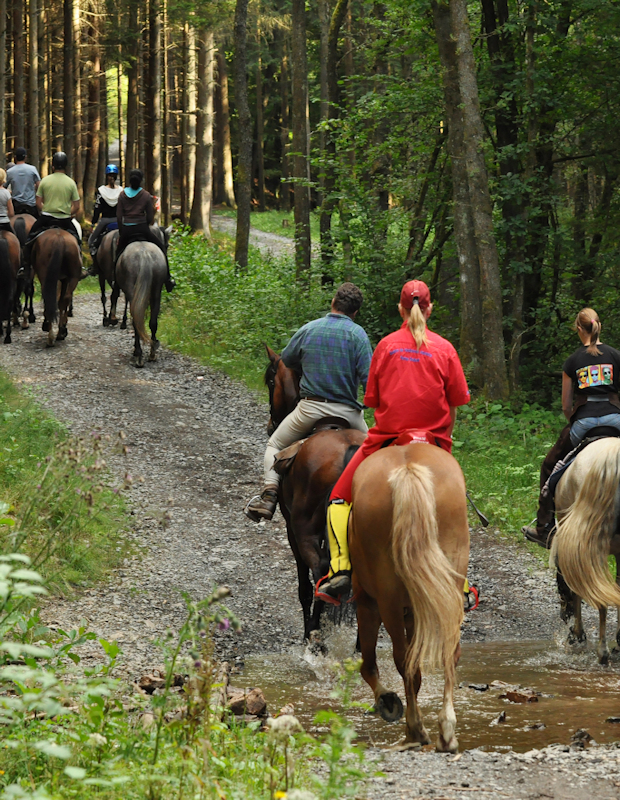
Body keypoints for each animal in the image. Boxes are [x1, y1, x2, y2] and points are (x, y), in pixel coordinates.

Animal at [114, 233, 170, 368]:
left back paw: (138, 355)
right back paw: (152, 353)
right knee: (153, 322)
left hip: (132, 290)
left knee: (136, 320)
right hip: (156, 290)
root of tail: (144, 253)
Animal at [264, 346, 366, 640]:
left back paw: (313, 633)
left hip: (304, 529)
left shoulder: (291, 529)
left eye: (270, 381)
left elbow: (304, 586)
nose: (271, 424)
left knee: (321, 570)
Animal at [348, 444, 470, 752]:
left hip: (387, 599)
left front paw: (387, 701)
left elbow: (369, 665)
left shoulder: (366, 603)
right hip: (446, 587)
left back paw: (415, 730)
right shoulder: (416, 610)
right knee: (448, 652)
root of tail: (408, 469)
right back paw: (446, 731)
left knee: (403, 659)